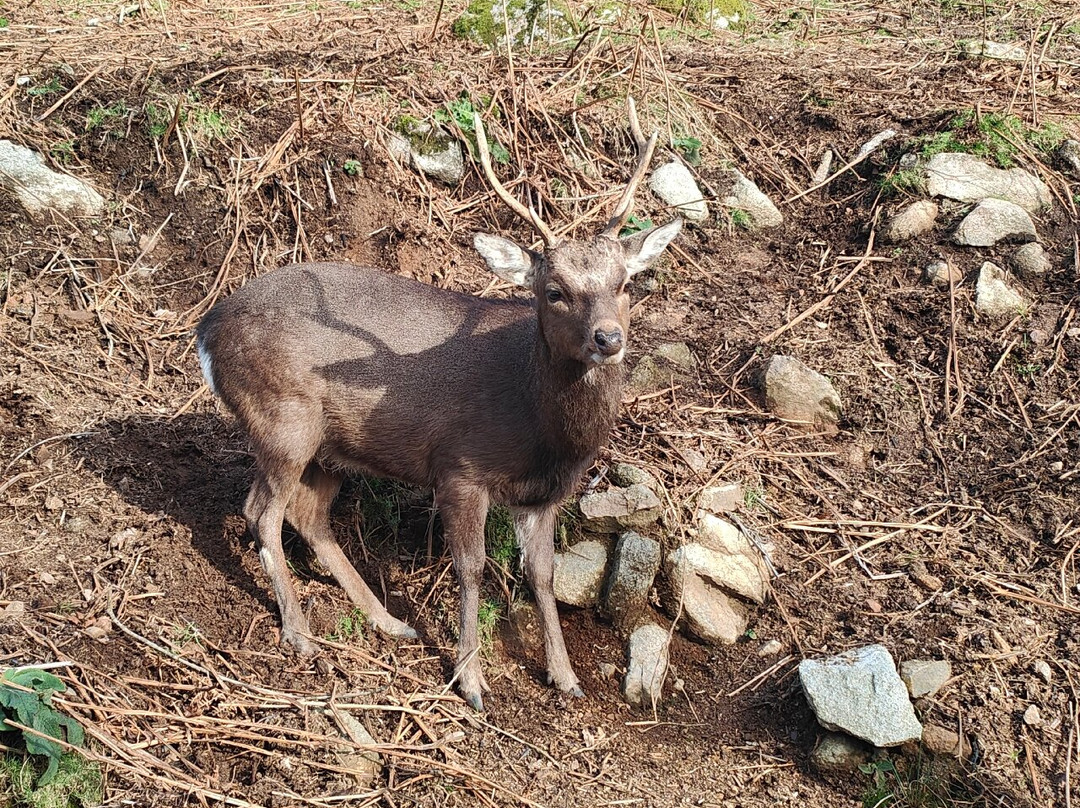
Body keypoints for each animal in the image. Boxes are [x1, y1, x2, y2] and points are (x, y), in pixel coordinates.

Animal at [196, 99, 682, 708]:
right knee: (261, 512)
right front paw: (470, 681)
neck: (541, 429)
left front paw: (565, 675)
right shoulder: (459, 467)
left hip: (328, 448)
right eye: (554, 291)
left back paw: (389, 621)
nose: (608, 338)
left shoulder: (544, 495)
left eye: (625, 283)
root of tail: (206, 332)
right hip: (282, 420)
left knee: (309, 517)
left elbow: (542, 575)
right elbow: (471, 568)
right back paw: (299, 631)